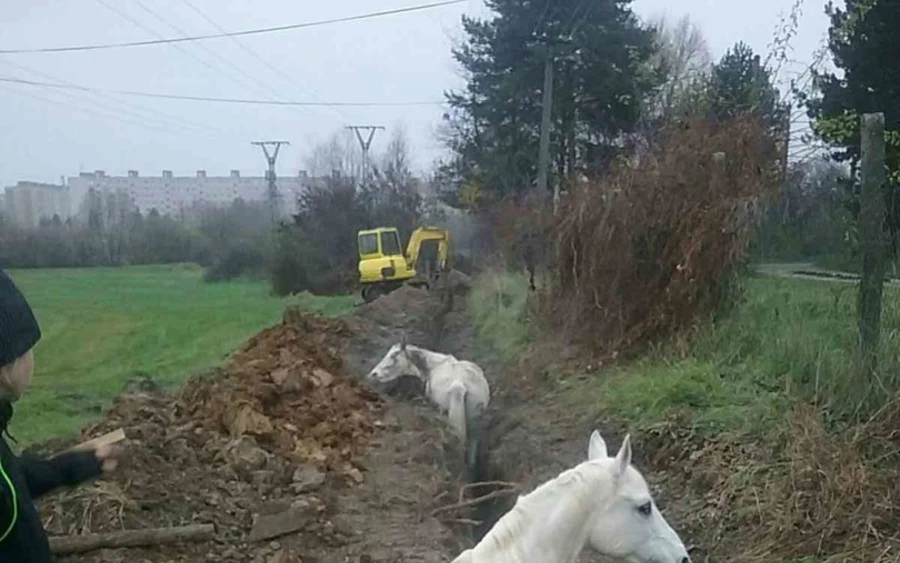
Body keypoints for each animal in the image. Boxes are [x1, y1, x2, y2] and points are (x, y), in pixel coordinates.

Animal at [368, 334, 492, 476]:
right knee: (473, 442)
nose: (373, 374)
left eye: (394, 355)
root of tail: (461, 384)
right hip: (475, 417)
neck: (435, 364)